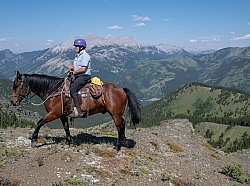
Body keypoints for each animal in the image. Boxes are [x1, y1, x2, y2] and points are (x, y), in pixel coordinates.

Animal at [10, 70, 142, 150]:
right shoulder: (62, 115)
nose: (12, 102)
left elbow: (39, 122)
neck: (53, 92)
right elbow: (66, 127)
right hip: (117, 114)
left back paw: (118, 146)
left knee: (119, 126)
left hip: (115, 114)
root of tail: (122, 89)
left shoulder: (54, 113)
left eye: (18, 86)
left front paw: (34, 140)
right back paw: (124, 142)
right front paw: (68, 142)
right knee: (123, 123)